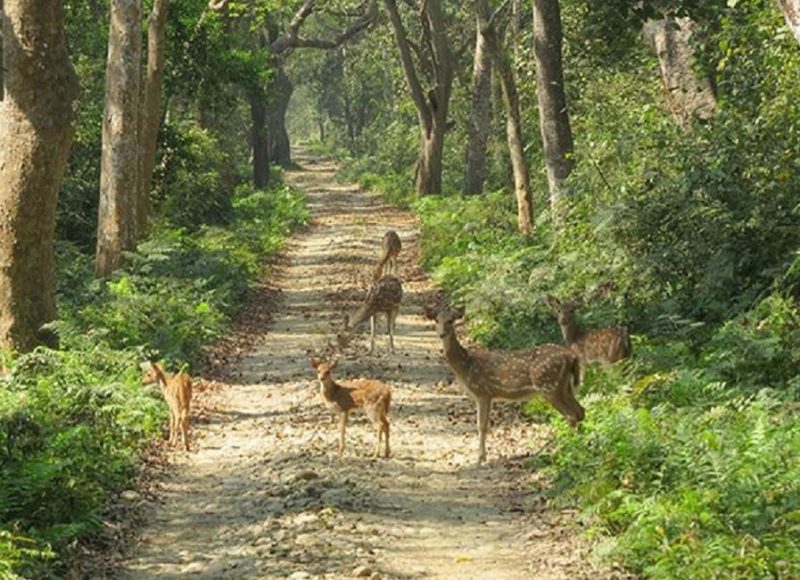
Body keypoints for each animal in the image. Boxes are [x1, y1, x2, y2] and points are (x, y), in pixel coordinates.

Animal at [422, 306, 584, 464]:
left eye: (450, 321)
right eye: (436, 320)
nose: (441, 334)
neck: (466, 365)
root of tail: (572, 356)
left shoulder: (483, 392)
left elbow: (482, 425)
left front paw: (480, 458)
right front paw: (482, 456)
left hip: (549, 386)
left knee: (571, 415)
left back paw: (567, 448)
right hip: (565, 386)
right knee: (580, 411)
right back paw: (577, 444)